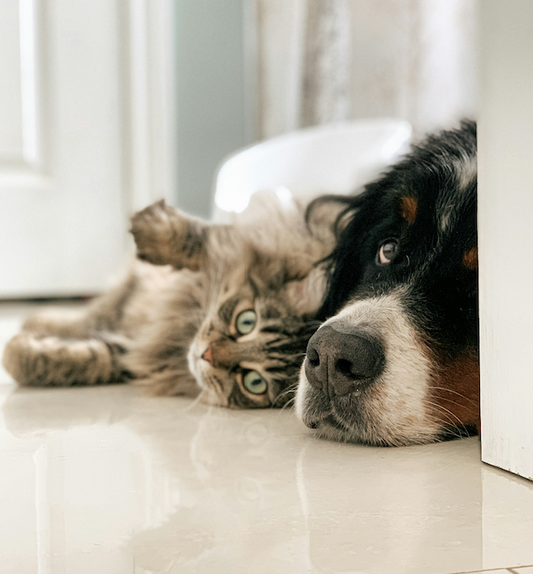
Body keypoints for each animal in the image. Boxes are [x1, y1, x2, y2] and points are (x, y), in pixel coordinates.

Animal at [3, 194, 336, 410]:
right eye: (246, 321)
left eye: (254, 382)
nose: (206, 355)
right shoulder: (261, 240)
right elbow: (203, 238)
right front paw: (152, 227)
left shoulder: (134, 353)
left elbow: (86, 358)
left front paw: (15, 351)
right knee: (90, 314)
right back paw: (37, 319)